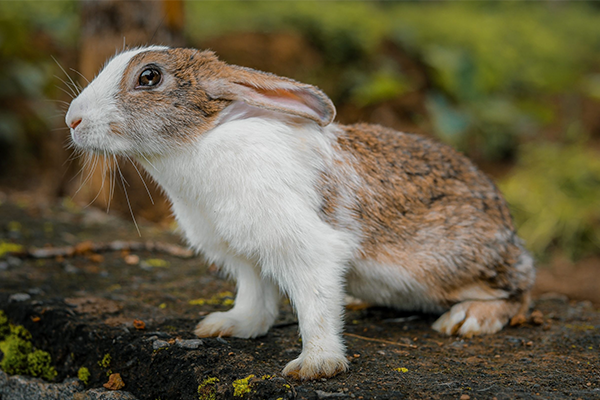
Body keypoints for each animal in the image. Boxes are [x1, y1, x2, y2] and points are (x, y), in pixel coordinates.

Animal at [64, 46, 536, 378]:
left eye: (149, 76)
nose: (72, 120)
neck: (200, 140)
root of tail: (510, 233)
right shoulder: (245, 257)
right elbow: (256, 299)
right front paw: (227, 326)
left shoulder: (306, 248)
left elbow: (315, 307)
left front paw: (316, 366)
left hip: (451, 265)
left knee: (520, 295)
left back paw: (467, 319)